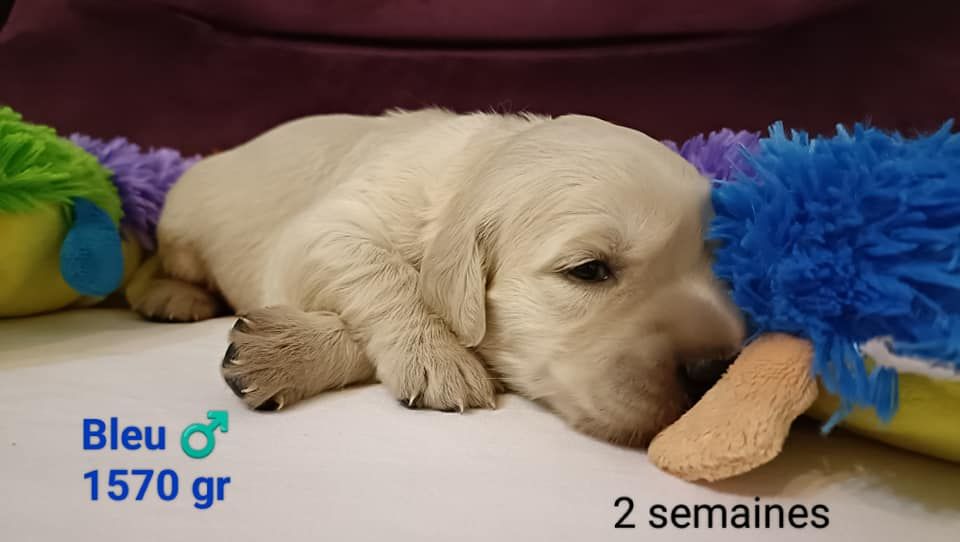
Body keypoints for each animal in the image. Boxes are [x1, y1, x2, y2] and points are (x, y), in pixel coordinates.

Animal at [126, 109, 745, 446]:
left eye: (719, 272)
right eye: (589, 270)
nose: (715, 370)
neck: (470, 174)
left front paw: (279, 351)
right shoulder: (321, 231)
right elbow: (386, 271)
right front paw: (438, 355)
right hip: (184, 226)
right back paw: (170, 296)